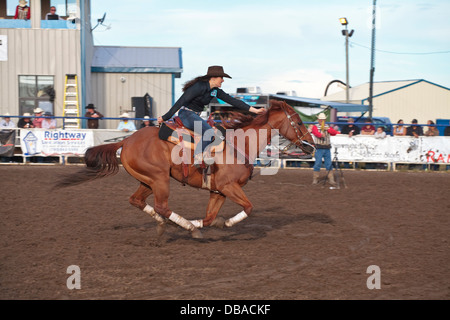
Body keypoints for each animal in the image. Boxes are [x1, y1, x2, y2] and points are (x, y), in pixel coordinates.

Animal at [56, 100, 314, 238]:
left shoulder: (218, 192)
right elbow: (249, 208)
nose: (312, 145)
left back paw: (167, 225)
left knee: (137, 201)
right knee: (161, 206)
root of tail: (126, 141)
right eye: (298, 122)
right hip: (159, 179)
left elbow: (210, 218)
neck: (239, 144)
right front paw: (220, 224)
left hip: (147, 181)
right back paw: (183, 225)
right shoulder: (229, 187)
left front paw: (209, 224)